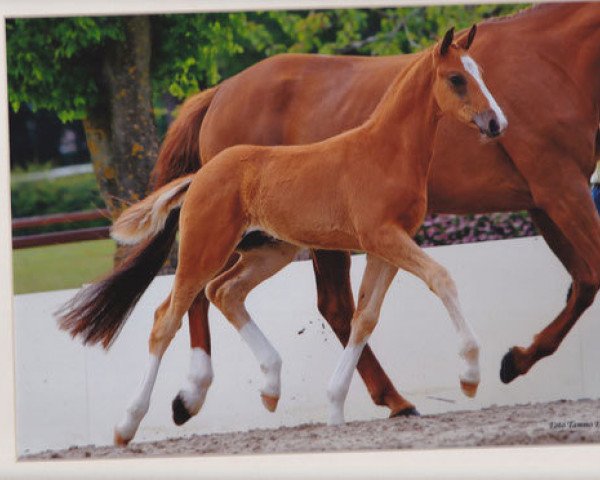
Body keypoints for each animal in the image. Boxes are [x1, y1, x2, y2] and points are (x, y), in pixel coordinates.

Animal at [98, 26, 506, 444]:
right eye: (456, 78)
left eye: (479, 72)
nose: (495, 123)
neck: (385, 152)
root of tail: (200, 174)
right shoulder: (384, 237)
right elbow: (440, 278)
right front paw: (470, 376)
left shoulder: (386, 247)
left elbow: (364, 317)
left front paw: (336, 405)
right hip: (204, 250)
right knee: (167, 318)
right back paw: (129, 424)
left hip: (269, 252)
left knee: (225, 292)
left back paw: (270, 386)